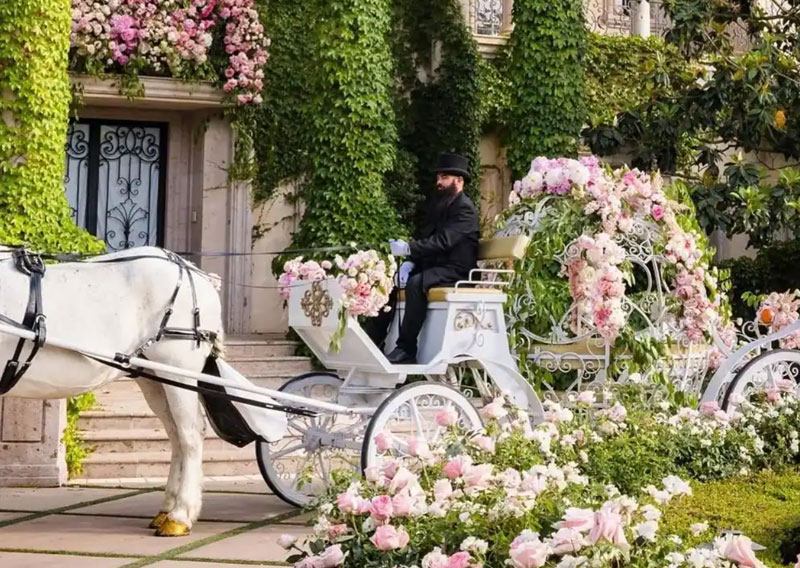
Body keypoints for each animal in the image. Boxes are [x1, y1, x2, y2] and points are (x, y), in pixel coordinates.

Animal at [0, 245, 284, 536]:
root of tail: (196, 272)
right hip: (155, 379)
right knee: (176, 435)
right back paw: (167, 509)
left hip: (178, 368)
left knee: (191, 435)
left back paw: (181, 515)